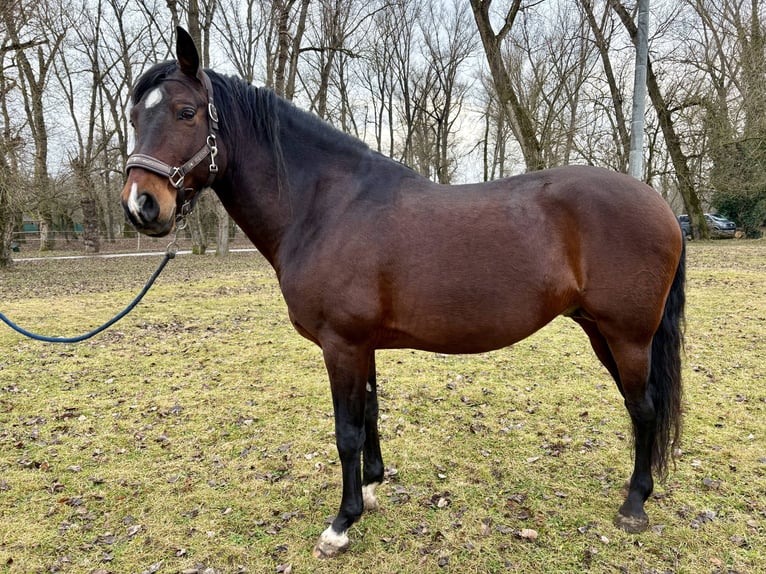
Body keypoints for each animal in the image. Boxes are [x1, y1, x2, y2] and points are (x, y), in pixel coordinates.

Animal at [121, 27, 685, 559]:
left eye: (186, 112)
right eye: (132, 117)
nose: (141, 206)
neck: (324, 207)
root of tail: (660, 204)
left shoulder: (341, 344)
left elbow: (346, 431)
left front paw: (341, 525)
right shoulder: (362, 344)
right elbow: (370, 413)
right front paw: (371, 490)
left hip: (627, 335)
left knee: (643, 407)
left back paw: (634, 505)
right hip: (600, 331)